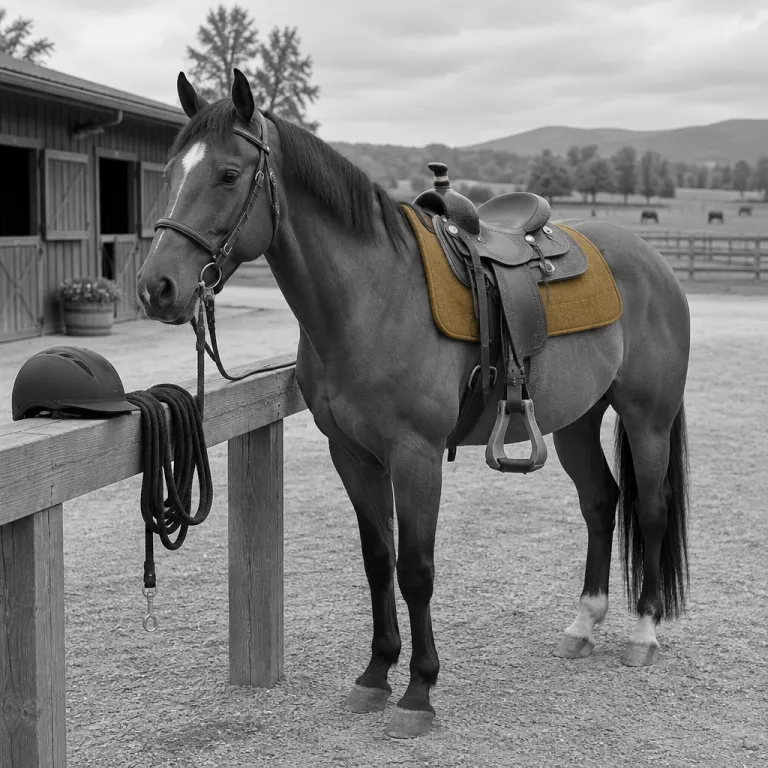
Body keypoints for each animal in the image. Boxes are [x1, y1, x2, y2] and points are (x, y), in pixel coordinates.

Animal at [136, 70, 691, 739]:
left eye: (226, 174)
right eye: (171, 172)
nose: (156, 287)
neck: (373, 297)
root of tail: (653, 259)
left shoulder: (416, 456)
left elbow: (416, 568)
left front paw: (419, 692)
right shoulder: (352, 455)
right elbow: (379, 560)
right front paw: (377, 674)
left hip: (647, 418)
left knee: (652, 509)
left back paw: (643, 633)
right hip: (579, 422)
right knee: (601, 502)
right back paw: (583, 626)